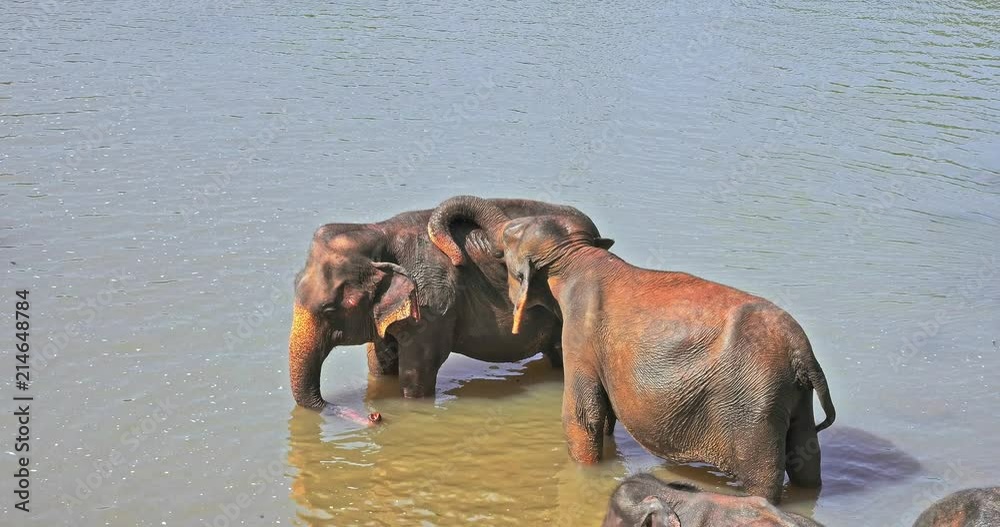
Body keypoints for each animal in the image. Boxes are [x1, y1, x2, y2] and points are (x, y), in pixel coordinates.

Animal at [288, 198, 612, 414]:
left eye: (329, 309)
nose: (374, 417)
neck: (376, 232)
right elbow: (379, 363)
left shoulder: (434, 307)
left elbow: (418, 371)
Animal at [426, 196, 836, 502]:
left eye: (507, 240)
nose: (458, 255)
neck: (576, 256)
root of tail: (803, 352)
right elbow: (603, 416)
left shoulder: (580, 335)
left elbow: (582, 417)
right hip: (793, 398)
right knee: (807, 461)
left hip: (753, 408)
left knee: (762, 478)